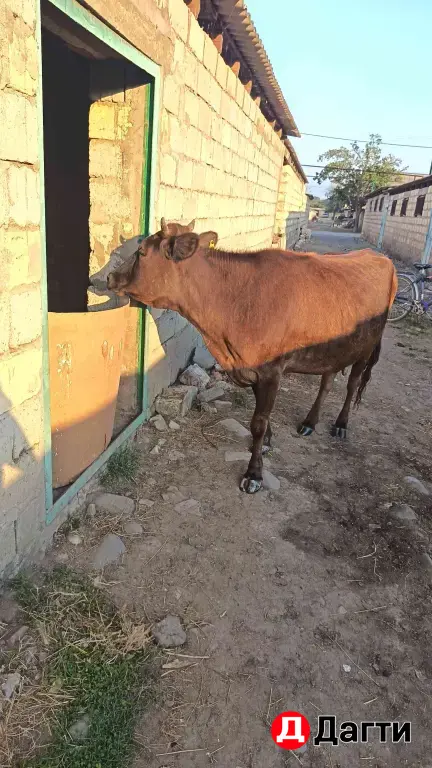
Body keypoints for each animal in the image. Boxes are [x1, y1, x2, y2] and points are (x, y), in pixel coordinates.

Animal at [104, 219, 397, 494]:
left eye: (141, 252)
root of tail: (377, 256)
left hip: (367, 345)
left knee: (352, 385)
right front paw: (266, 443)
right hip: (335, 348)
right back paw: (309, 423)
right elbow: (262, 416)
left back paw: (340, 424)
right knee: (326, 383)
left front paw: (254, 473)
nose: (110, 277)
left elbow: (257, 421)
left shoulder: (271, 371)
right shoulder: (251, 367)